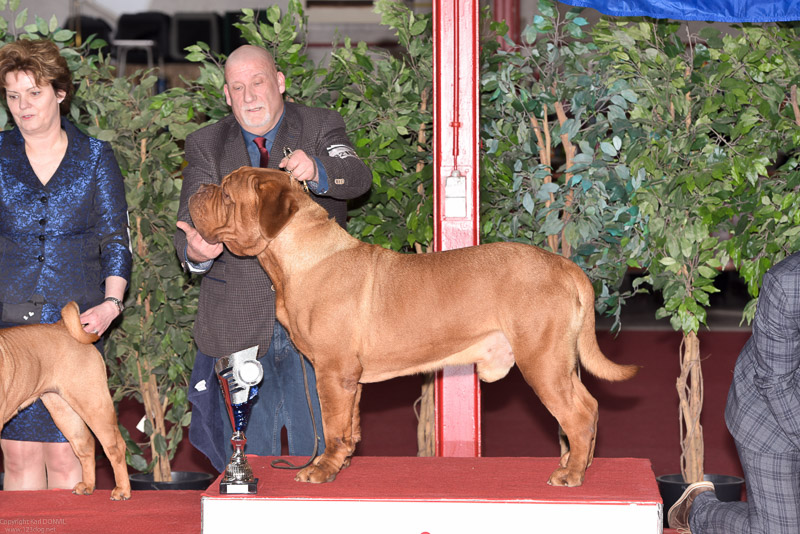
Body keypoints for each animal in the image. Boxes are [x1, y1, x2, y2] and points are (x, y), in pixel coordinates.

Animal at [0, 304, 130, 500]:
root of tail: (62, 327)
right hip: (64, 411)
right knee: (86, 444)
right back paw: (87, 486)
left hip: (94, 404)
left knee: (115, 447)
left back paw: (122, 489)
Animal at [188, 169, 636, 490]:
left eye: (227, 194)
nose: (197, 189)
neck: (296, 257)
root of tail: (564, 265)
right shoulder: (349, 377)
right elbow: (349, 424)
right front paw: (342, 462)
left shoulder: (332, 371)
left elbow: (332, 425)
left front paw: (322, 469)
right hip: (561, 361)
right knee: (588, 406)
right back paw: (576, 462)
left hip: (542, 361)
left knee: (579, 414)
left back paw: (571, 474)